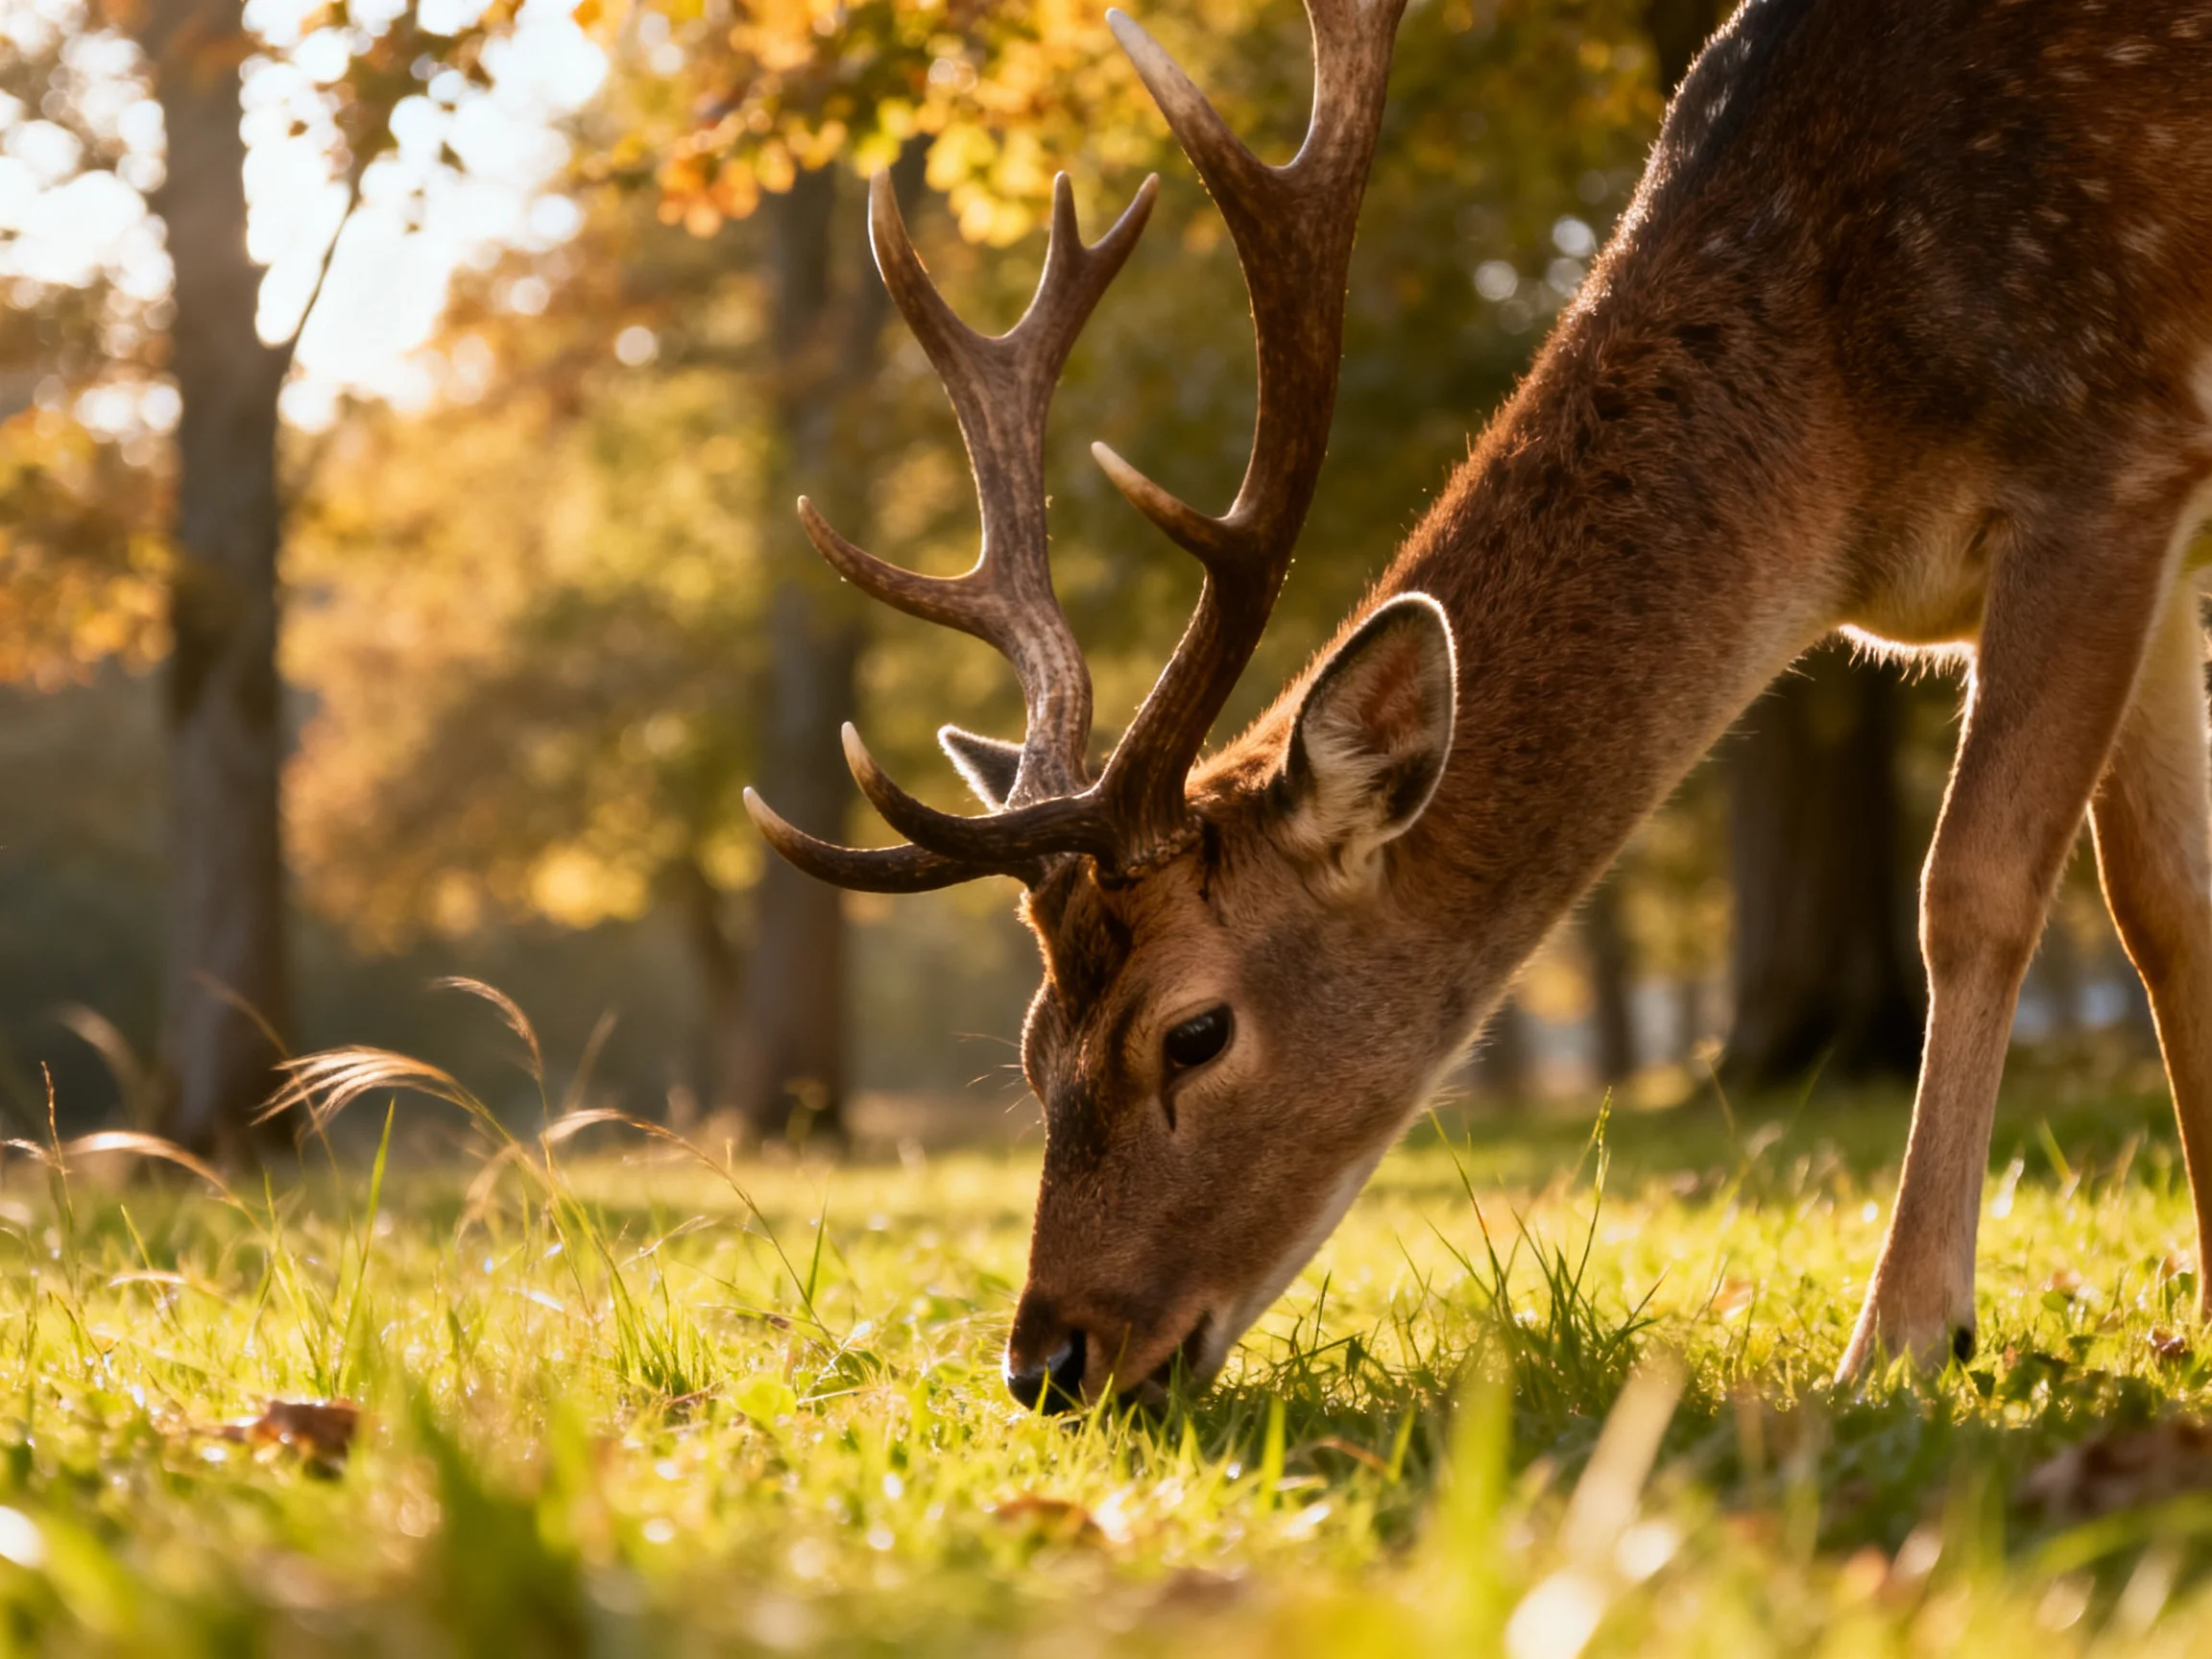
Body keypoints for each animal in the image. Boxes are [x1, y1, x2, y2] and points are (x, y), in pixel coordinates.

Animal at [745, 0, 2212, 1410]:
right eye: (1036, 1045)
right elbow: (2167, 910)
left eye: (1195, 1032)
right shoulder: (2156, 531)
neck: (1848, 462)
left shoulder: (2101, 456)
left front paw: (1904, 1339)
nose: (1047, 1364)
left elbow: (1974, 890)